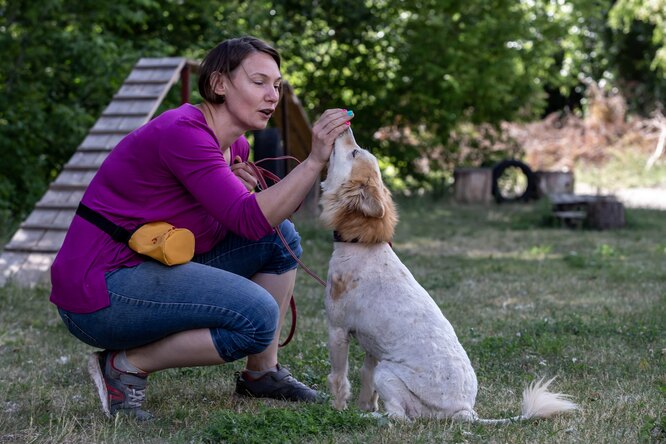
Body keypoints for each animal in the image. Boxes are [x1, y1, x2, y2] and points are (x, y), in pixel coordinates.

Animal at [318, 129, 576, 424]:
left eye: (354, 152)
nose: (346, 128)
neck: (361, 244)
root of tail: (464, 411)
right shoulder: (372, 345)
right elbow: (365, 379)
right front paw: (364, 406)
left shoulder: (338, 330)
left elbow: (339, 379)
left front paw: (338, 410)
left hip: (388, 372)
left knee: (399, 417)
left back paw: (373, 419)